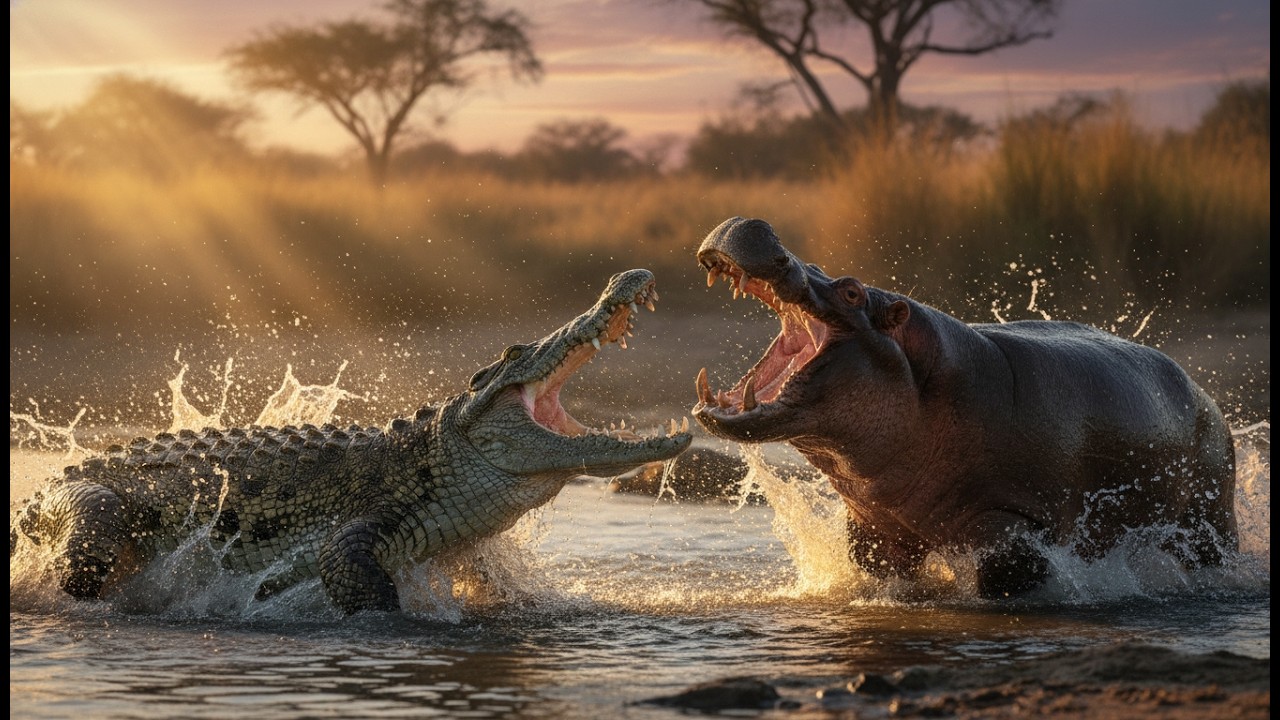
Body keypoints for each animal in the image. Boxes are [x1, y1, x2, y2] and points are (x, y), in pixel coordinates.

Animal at [691, 217, 1238, 597]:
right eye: (823, 267)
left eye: (851, 290)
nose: (756, 226)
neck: (928, 375)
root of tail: (1205, 394)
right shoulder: (875, 526)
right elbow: (875, 570)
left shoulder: (1014, 520)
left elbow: (1004, 571)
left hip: (1210, 517)